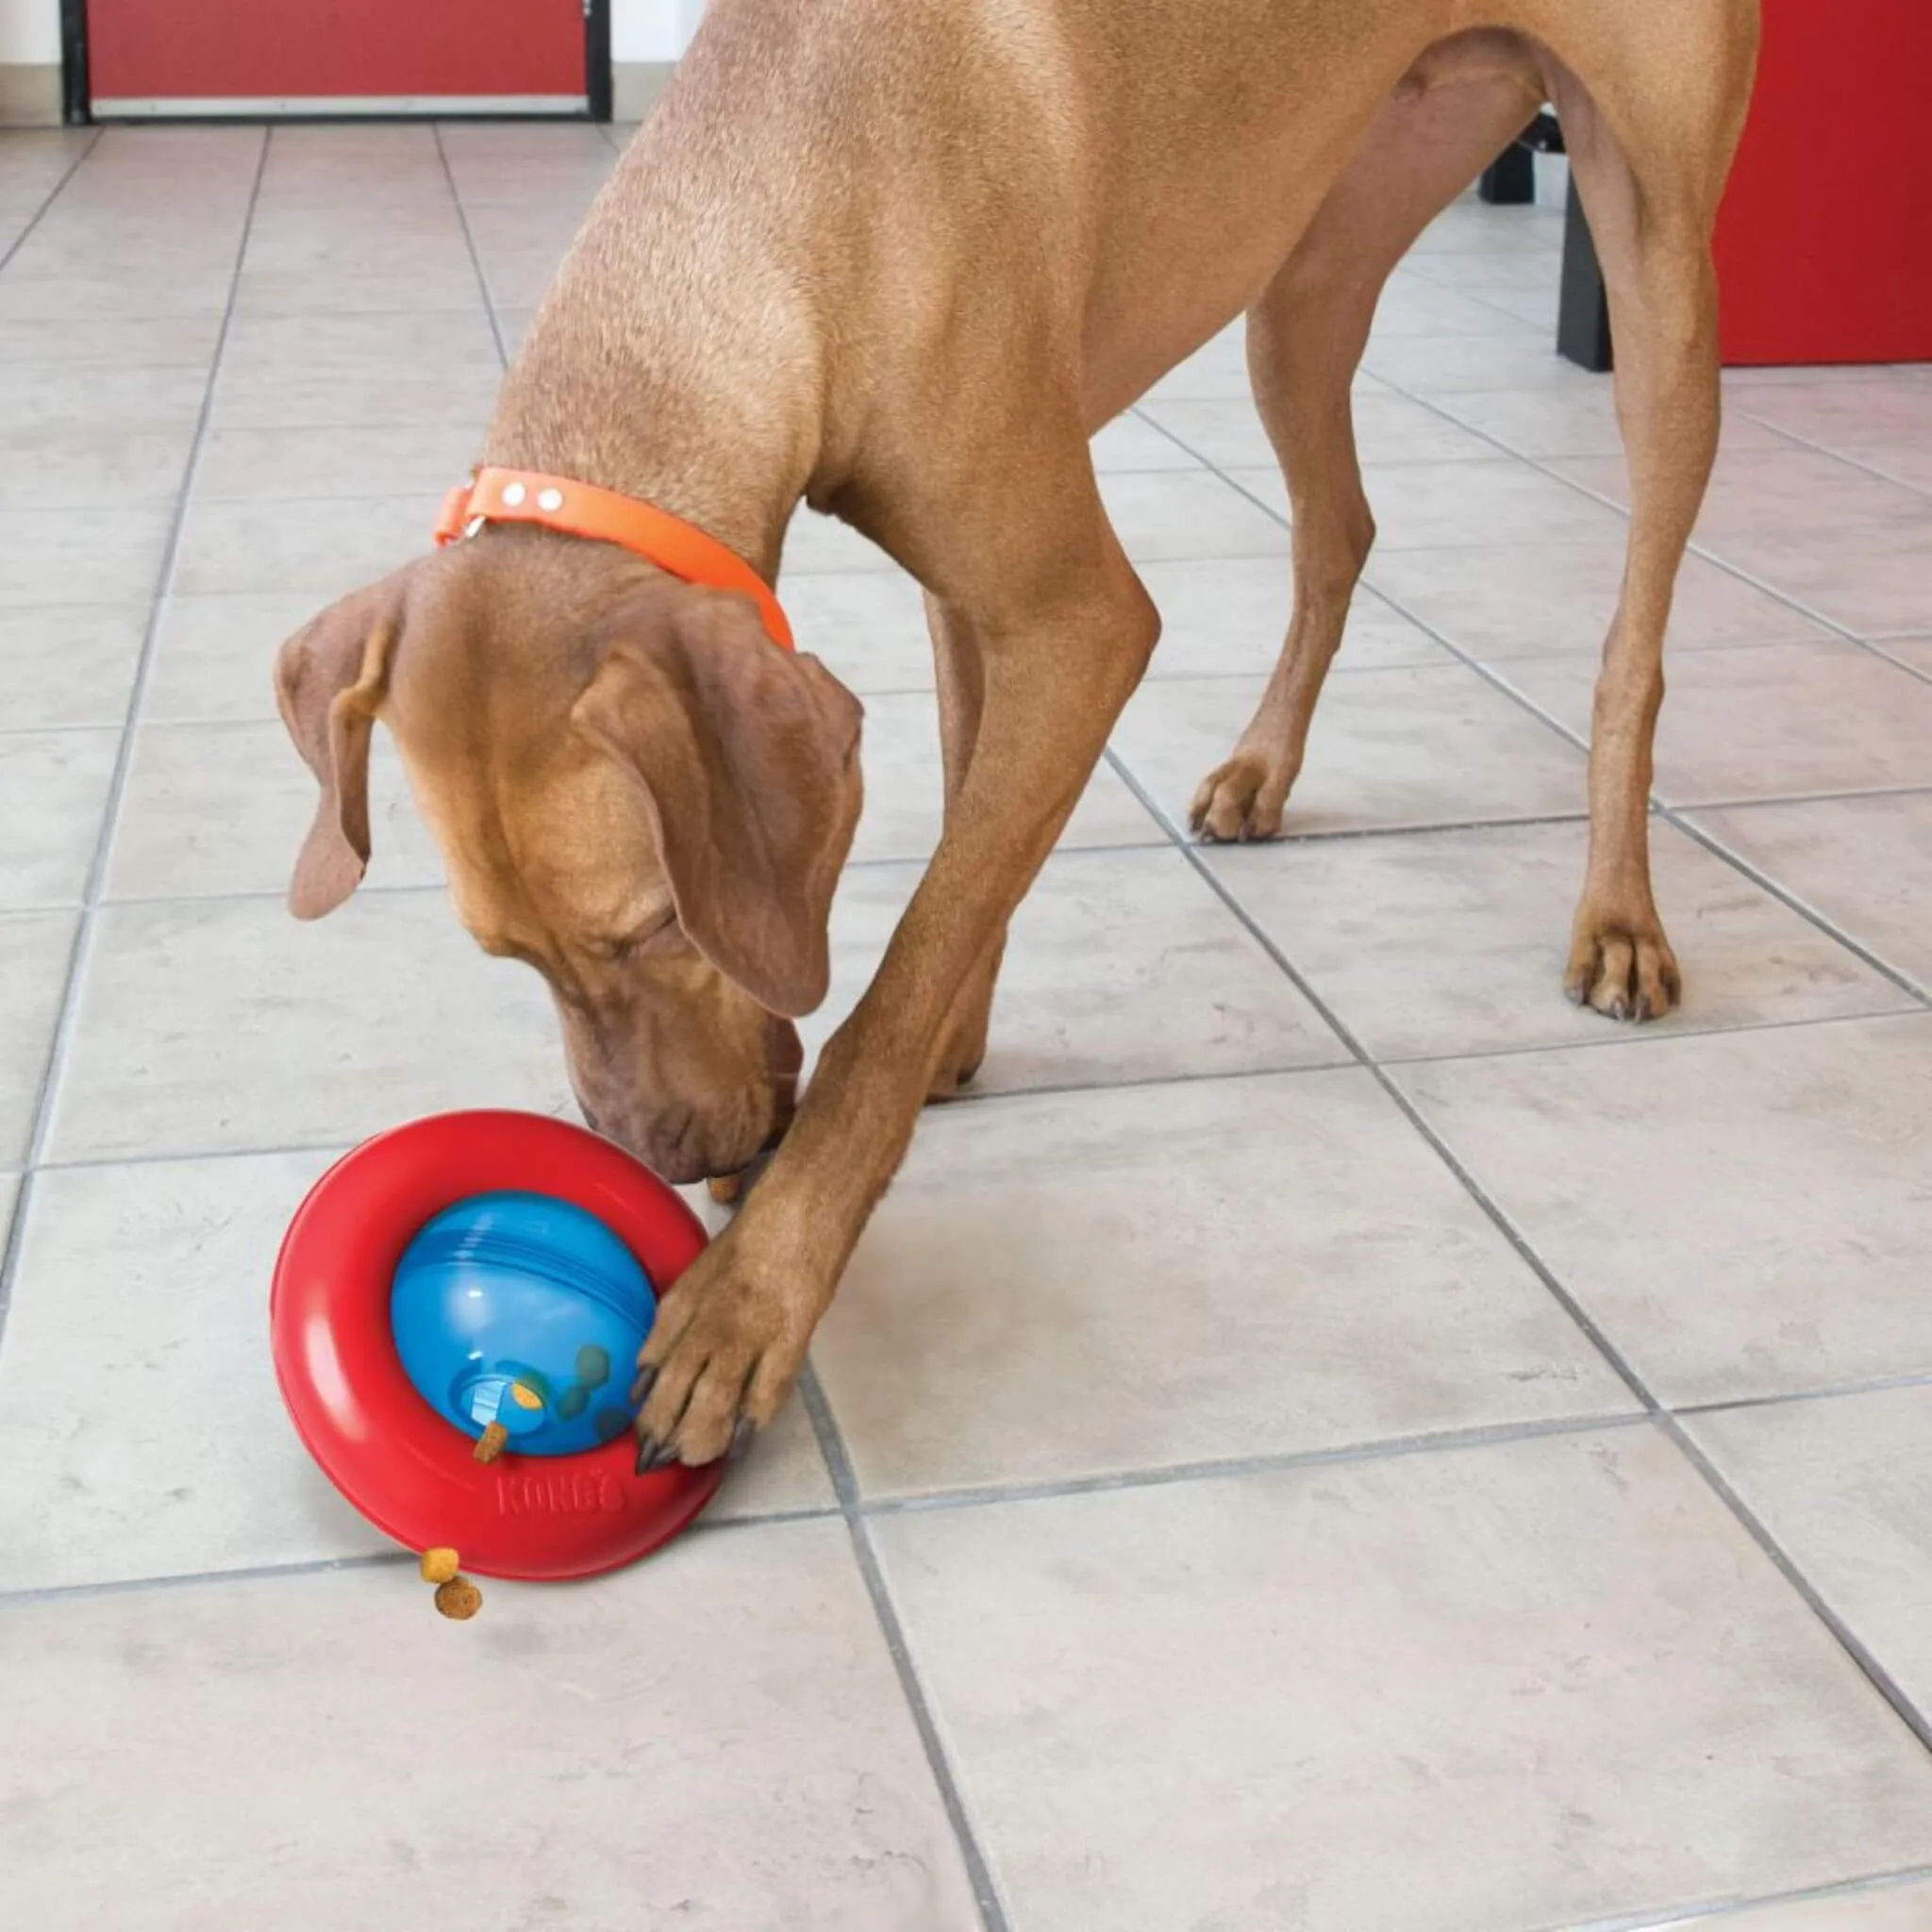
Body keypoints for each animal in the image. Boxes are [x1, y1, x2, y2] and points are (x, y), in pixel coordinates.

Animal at [275, 0, 1769, 1460]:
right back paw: (1264, 769)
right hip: (1305, 272)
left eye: (652, 930)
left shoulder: (1079, 622)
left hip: (1656, 270)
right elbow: (961, 846)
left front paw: (755, 1292)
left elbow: (905, 969)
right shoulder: (967, 598)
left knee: (1630, 646)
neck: (773, 194)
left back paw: (1619, 914)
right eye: (507, 957)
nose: (664, 1158)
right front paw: (951, 1037)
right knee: (1337, 529)